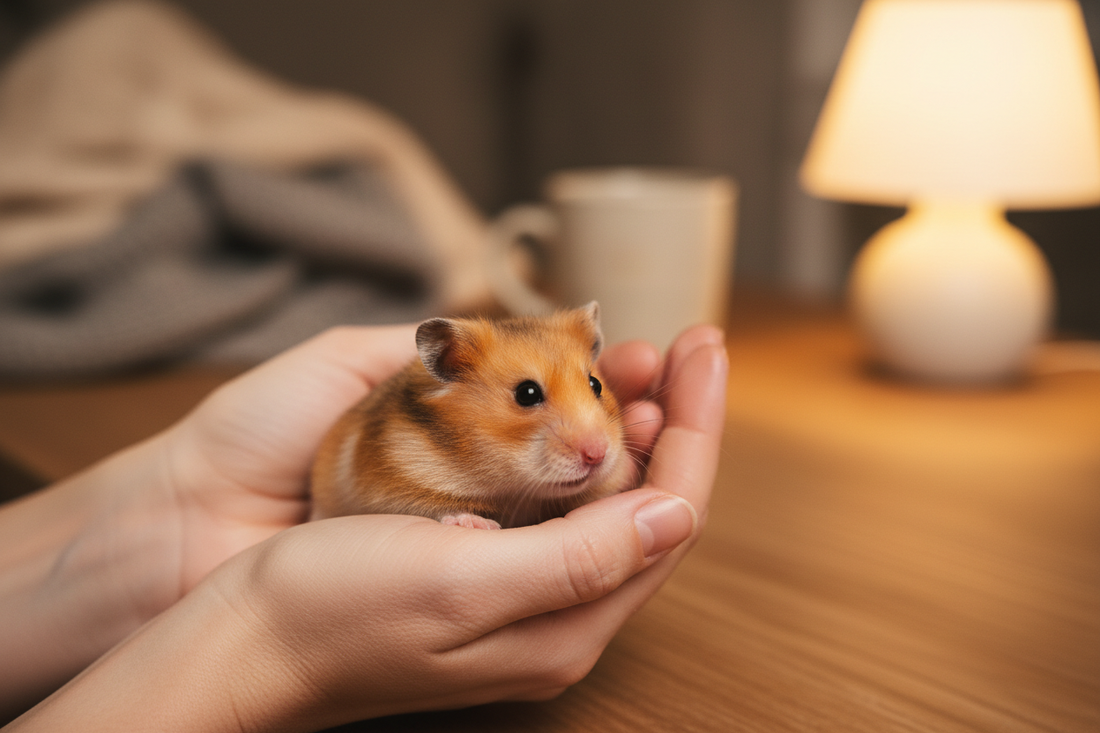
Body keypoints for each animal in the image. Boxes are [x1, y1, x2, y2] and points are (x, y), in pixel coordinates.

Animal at [309, 302, 635, 529]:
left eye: (595, 384)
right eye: (527, 393)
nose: (597, 455)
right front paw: (480, 523)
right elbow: (441, 508)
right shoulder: (388, 490)